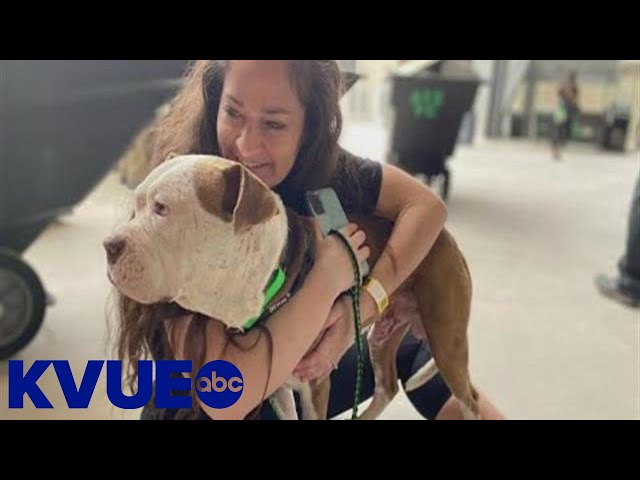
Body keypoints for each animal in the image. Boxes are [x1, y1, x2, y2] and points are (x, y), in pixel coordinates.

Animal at [105, 155, 480, 420]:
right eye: (137, 205)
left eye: (162, 208)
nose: (109, 245)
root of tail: (448, 238)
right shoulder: (278, 386)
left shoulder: (315, 384)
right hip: (382, 336)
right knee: (387, 385)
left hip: (446, 338)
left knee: (469, 397)